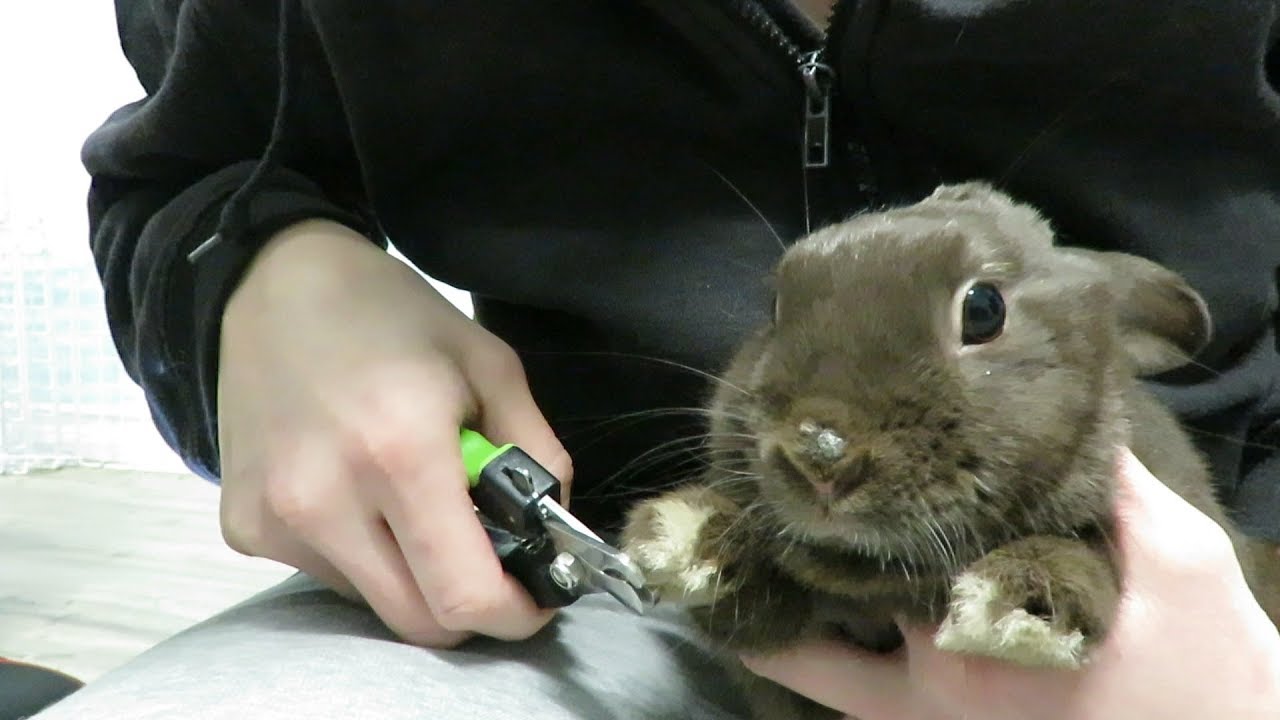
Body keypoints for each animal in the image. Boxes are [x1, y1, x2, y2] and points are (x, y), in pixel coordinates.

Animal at [616, 180, 1280, 717]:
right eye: (775, 308)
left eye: (984, 308)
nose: (820, 453)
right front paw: (684, 535)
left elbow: (1085, 553)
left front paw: (1017, 606)